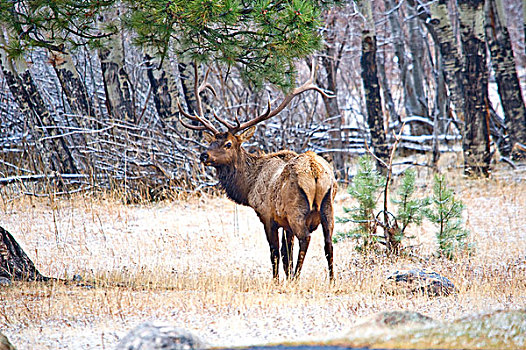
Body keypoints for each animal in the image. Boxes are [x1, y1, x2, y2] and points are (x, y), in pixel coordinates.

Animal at [180, 65, 338, 282]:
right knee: (328, 243)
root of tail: (314, 170)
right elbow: (286, 252)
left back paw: (298, 278)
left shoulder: (267, 215)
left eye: (228, 144)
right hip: (328, 207)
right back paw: (331, 281)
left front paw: (278, 280)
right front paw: (287, 278)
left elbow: (275, 251)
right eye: (212, 141)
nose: (204, 155)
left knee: (305, 239)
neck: (248, 187)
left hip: (297, 210)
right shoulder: (284, 223)